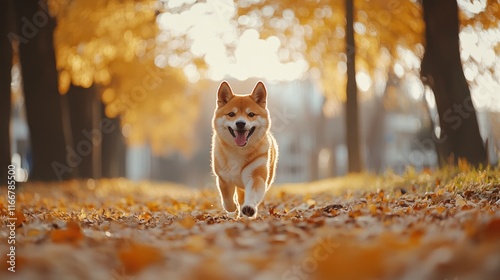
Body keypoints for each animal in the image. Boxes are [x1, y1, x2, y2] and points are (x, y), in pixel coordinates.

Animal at [209, 81, 276, 219]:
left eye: (251, 114)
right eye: (231, 114)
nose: (240, 123)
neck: (238, 152)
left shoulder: (255, 176)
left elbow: (252, 196)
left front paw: (249, 208)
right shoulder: (223, 179)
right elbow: (227, 200)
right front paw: (232, 208)